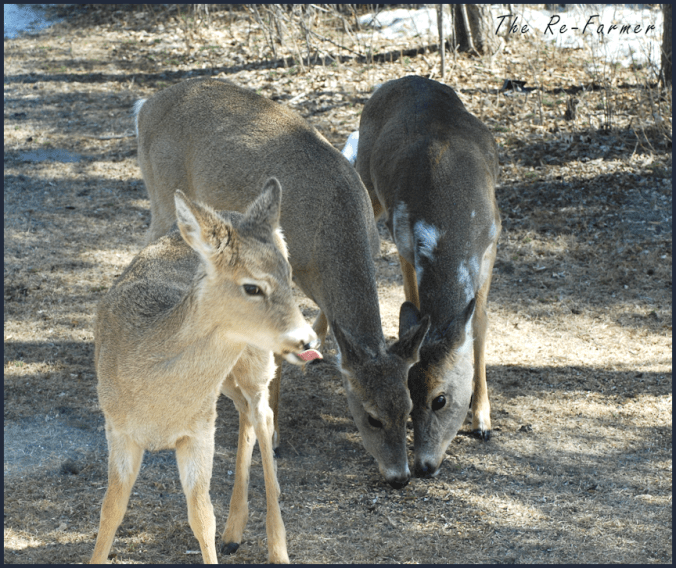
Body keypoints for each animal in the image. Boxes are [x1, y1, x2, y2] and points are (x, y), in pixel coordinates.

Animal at [90, 180, 318, 564]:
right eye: (252, 286)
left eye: (289, 277)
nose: (306, 339)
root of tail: (234, 213)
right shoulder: (117, 428)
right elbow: (110, 510)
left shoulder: (198, 432)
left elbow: (201, 516)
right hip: (225, 381)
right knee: (247, 411)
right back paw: (234, 533)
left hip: (255, 361)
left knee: (263, 413)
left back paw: (276, 548)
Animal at [133, 78, 431, 490]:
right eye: (371, 416)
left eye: (408, 408)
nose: (400, 476)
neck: (333, 233)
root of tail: (145, 105)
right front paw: (272, 434)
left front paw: (313, 353)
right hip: (162, 193)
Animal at [355, 75, 501, 479]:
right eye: (410, 397)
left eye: (439, 399)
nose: (423, 465)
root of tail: (404, 79)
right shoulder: (405, 238)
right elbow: (413, 300)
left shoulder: (493, 240)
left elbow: (479, 324)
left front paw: (483, 420)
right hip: (371, 186)